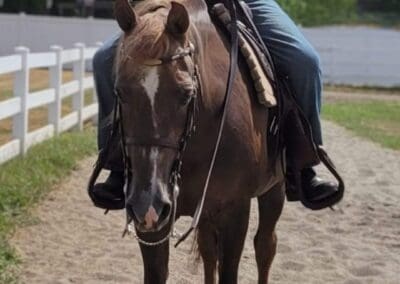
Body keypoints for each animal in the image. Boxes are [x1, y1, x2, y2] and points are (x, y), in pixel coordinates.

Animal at [113, 0, 284, 282]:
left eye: (186, 94)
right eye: (119, 91)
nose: (148, 201)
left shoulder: (235, 209)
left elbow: (230, 270)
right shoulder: (150, 220)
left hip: (274, 188)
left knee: (265, 246)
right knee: (208, 250)